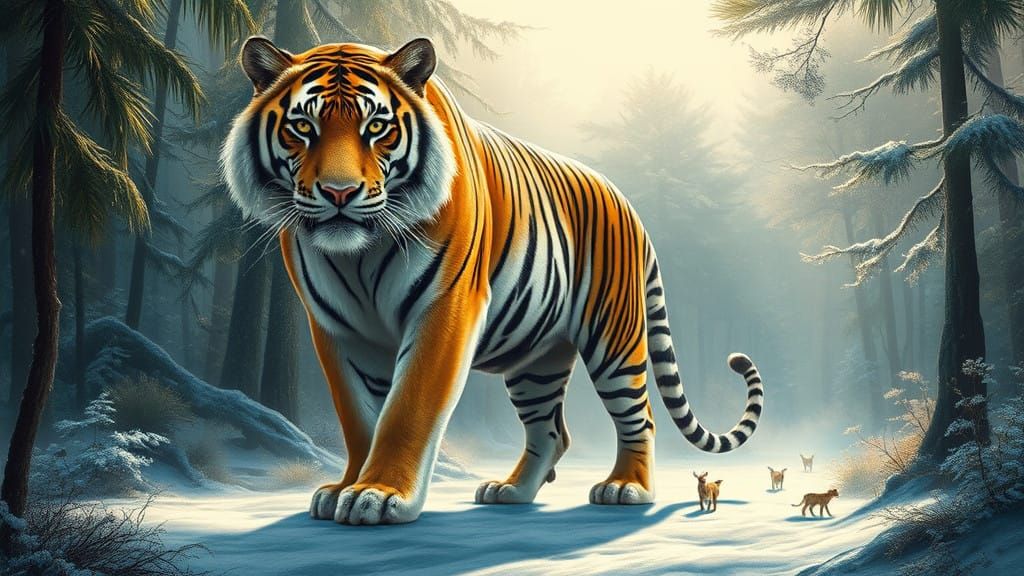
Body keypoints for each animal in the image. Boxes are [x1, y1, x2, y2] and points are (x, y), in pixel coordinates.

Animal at [222, 36, 766, 526]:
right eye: (303, 127)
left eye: (377, 127)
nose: (339, 193)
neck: (359, 253)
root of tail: (628, 204)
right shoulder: (335, 328)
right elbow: (358, 417)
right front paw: (346, 487)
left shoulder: (445, 307)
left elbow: (406, 409)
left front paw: (378, 494)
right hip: (537, 360)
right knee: (552, 432)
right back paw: (511, 490)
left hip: (613, 337)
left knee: (640, 417)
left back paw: (625, 488)